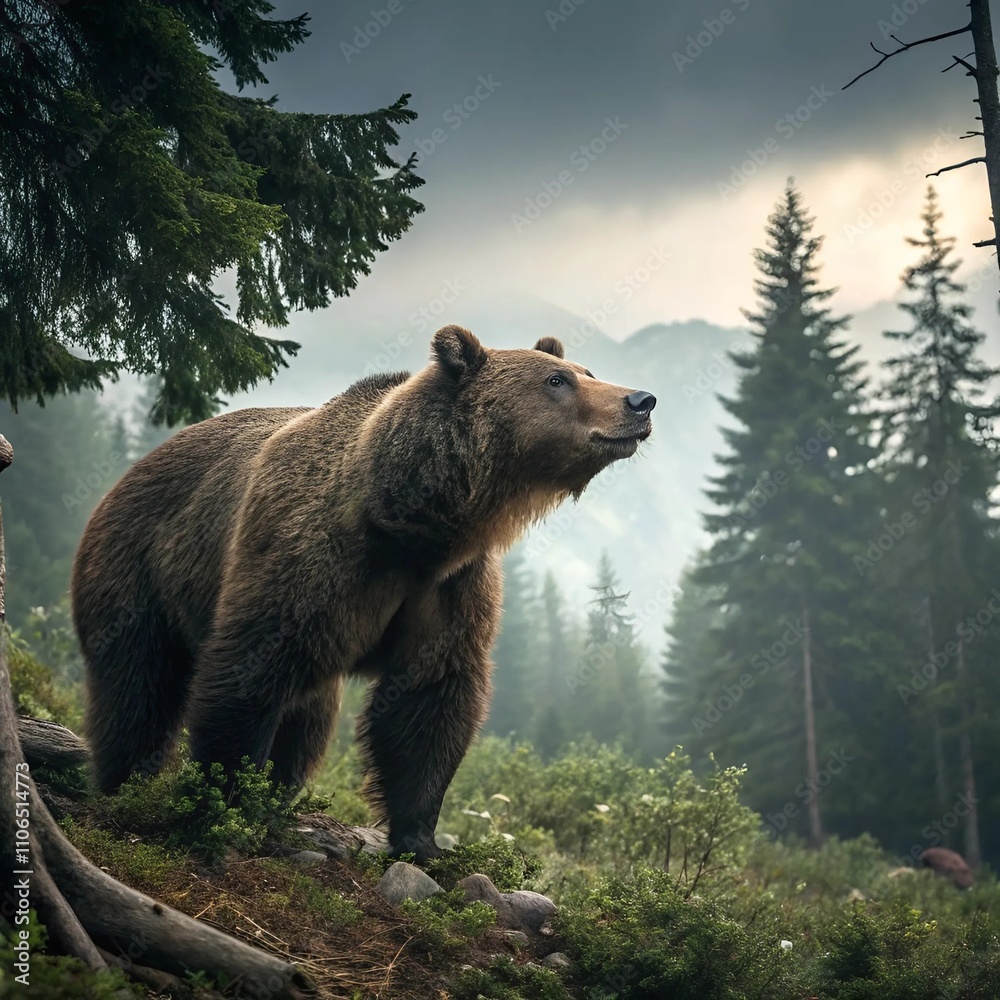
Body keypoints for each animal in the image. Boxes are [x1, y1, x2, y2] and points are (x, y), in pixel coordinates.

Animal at [71, 325, 656, 860]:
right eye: (557, 380)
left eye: (586, 370)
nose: (640, 401)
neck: (411, 524)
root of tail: (131, 471)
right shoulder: (308, 555)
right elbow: (248, 670)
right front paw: (223, 804)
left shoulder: (448, 587)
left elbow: (430, 697)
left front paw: (421, 839)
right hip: (139, 568)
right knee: (138, 687)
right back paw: (127, 781)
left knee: (306, 719)